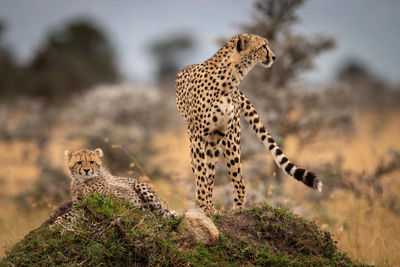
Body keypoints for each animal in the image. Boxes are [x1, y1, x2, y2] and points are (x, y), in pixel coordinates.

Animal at [175, 33, 322, 217]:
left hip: (226, 137)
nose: (274, 57)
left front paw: (207, 206)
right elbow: (201, 172)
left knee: (236, 180)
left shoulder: (221, 133)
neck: (230, 80)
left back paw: (236, 210)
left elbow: (208, 174)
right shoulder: (198, 135)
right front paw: (204, 206)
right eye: (263, 46)